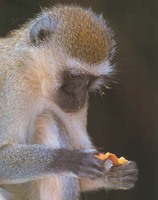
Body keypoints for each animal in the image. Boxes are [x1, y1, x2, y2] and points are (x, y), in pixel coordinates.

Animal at [0, 4, 138, 200]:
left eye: (90, 80)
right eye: (74, 75)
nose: (79, 97)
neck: (38, 81)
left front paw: (114, 174)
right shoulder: (14, 85)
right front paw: (68, 160)